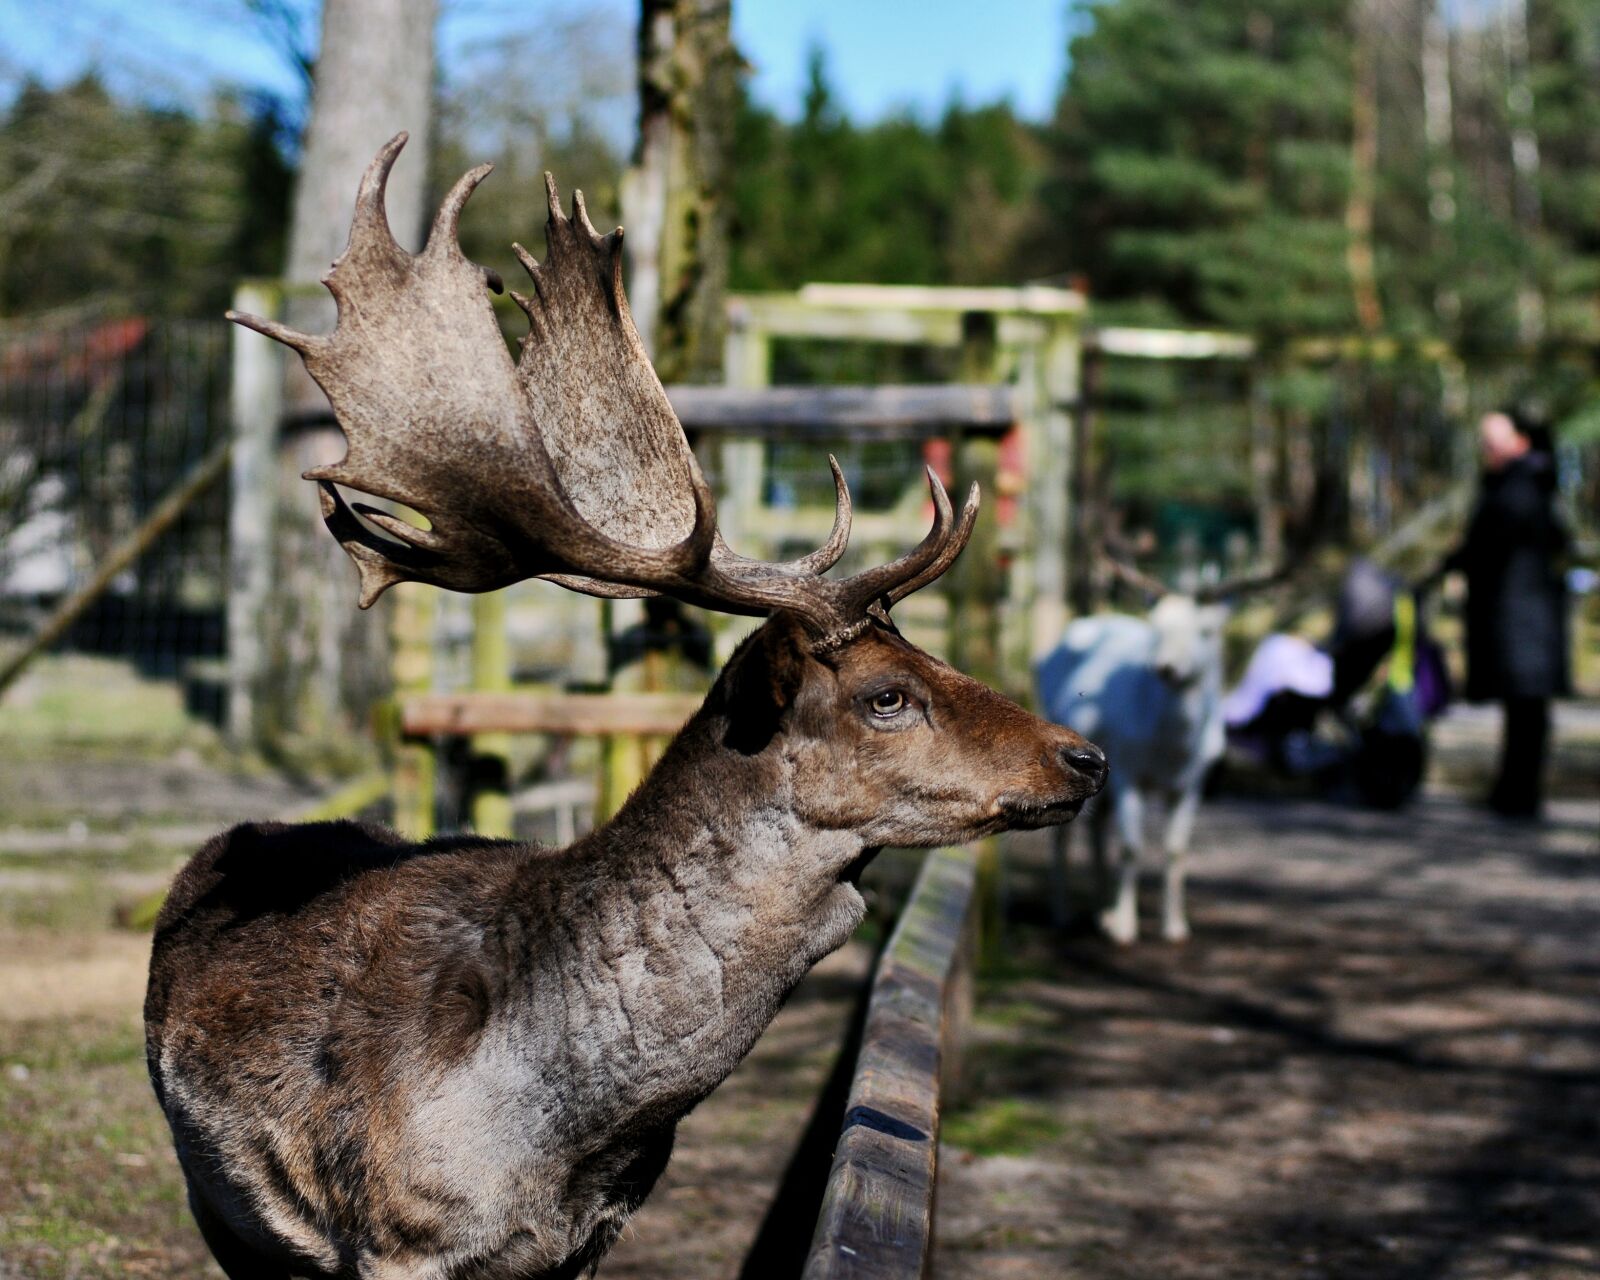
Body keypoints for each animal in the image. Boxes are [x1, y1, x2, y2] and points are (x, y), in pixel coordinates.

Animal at [143, 133, 1107, 1280]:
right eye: (886, 693)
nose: (1083, 756)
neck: (563, 1139)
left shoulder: (586, 1242)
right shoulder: (392, 1232)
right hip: (220, 1206)